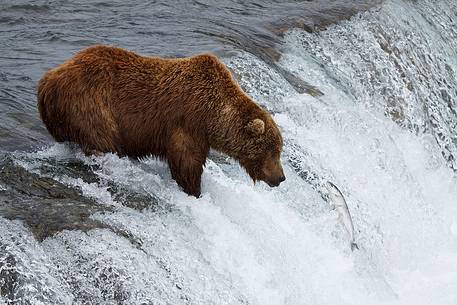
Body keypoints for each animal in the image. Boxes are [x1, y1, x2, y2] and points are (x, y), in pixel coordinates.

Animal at [37, 45, 284, 197]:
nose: (281, 177)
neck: (211, 116)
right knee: (101, 139)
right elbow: (187, 163)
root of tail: (48, 80)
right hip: (91, 105)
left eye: (279, 149)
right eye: (272, 150)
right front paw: (194, 190)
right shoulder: (187, 124)